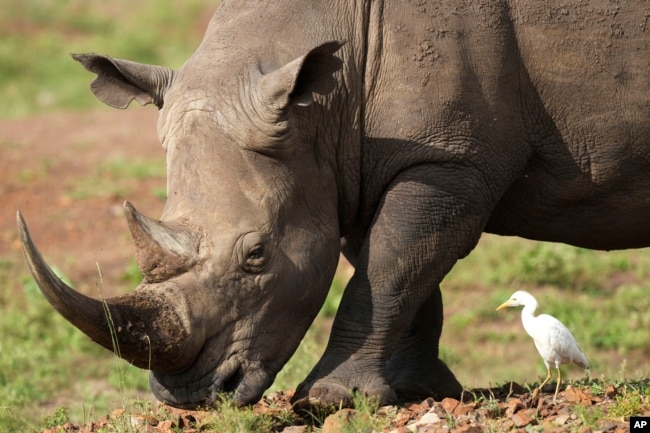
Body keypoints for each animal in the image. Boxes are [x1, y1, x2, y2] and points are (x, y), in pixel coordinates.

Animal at [17, 0, 644, 410]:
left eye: (257, 255)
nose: (191, 398)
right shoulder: (350, 162)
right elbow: (400, 270)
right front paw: (414, 390)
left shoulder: (450, 159)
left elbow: (390, 265)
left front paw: (327, 398)